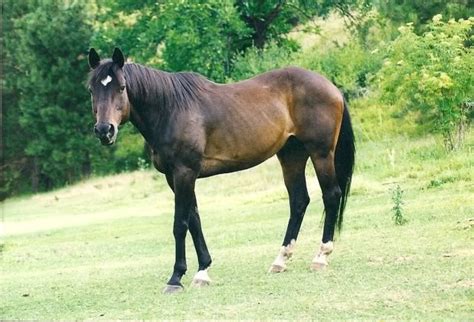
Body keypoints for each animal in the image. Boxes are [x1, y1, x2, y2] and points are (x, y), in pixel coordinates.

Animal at [88, 48, 356, 294]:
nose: (104, 130)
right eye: (92, 89)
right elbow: (194, 220)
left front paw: (176, 278)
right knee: (299, 201)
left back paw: (321, 257)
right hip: (292, 155)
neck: (171, 109)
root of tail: (330, 86)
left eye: (122, 87)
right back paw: (280, 260)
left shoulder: (184, 172)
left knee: (331, 195)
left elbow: (180, 223)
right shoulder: (175, 178)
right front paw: (203, 271)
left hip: (321, 153)